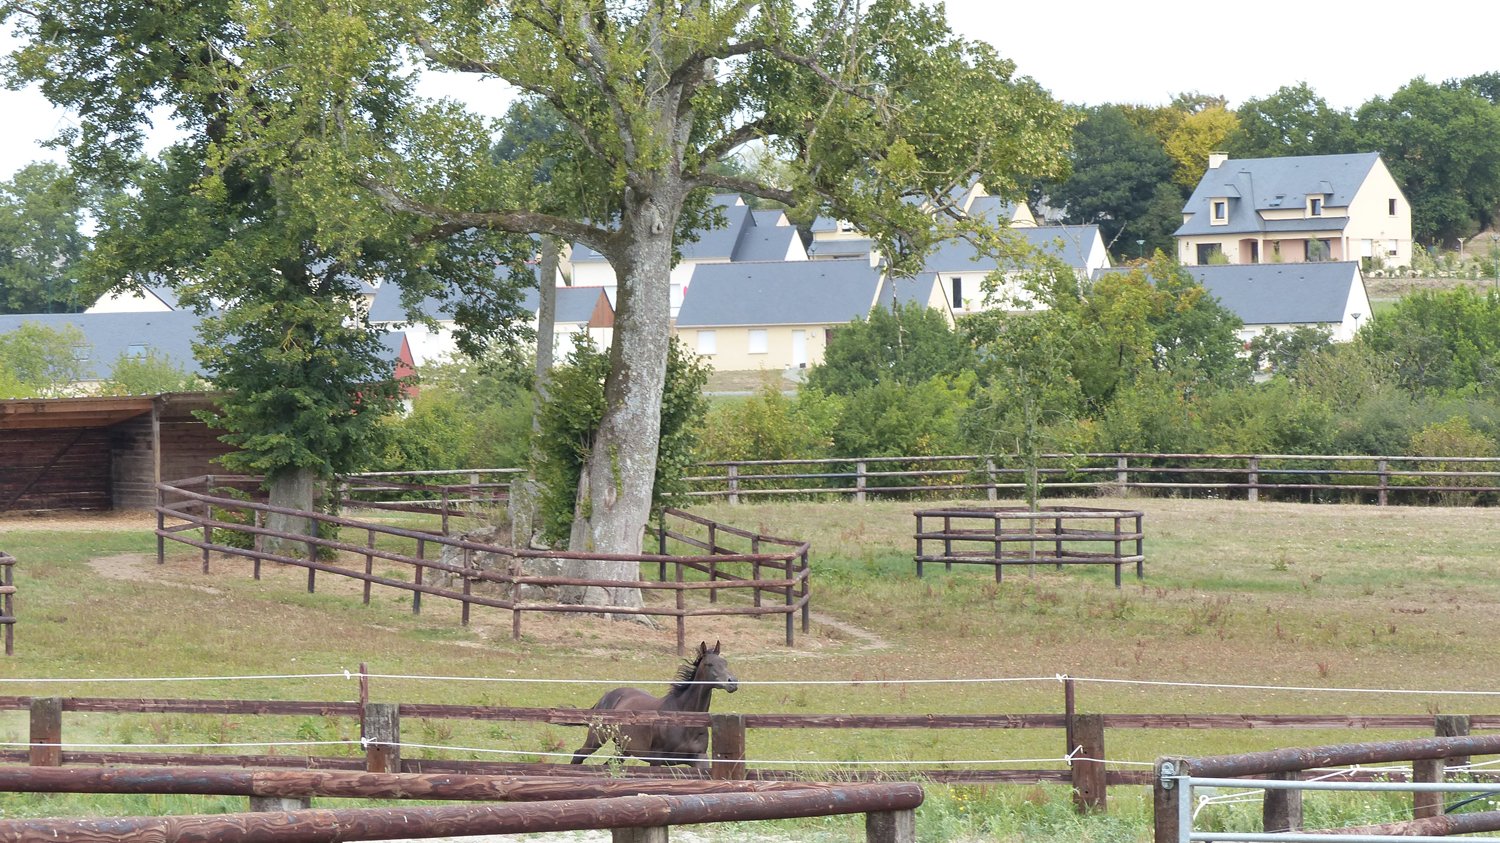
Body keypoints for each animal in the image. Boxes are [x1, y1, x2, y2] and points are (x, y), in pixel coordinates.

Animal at [570, 640, 738, 769]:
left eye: (725, 662)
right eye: (709, 664)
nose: (733, 682)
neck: (684, 719)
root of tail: (606, 696)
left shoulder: (699, 758)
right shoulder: (657, 759)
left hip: (623, 749)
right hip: (597, 738)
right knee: (578, 755)